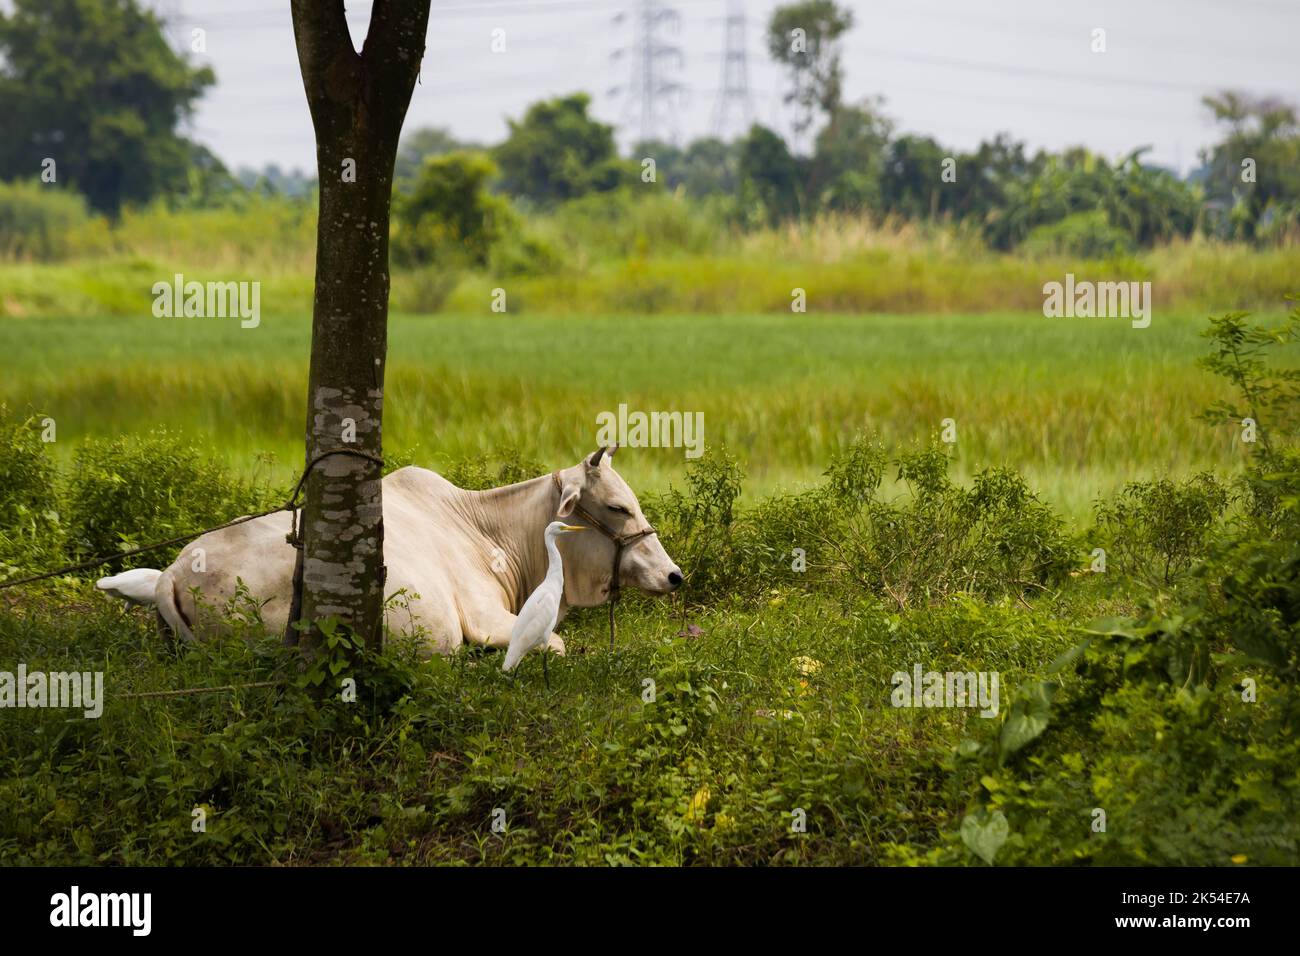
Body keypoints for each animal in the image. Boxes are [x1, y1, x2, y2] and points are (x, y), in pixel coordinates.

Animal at [106, 444, 686, 655]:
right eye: (617, 507)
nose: (674, 575)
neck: (493, 535)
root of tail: (174, 572)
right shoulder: (487, 620)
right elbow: (557, 644)